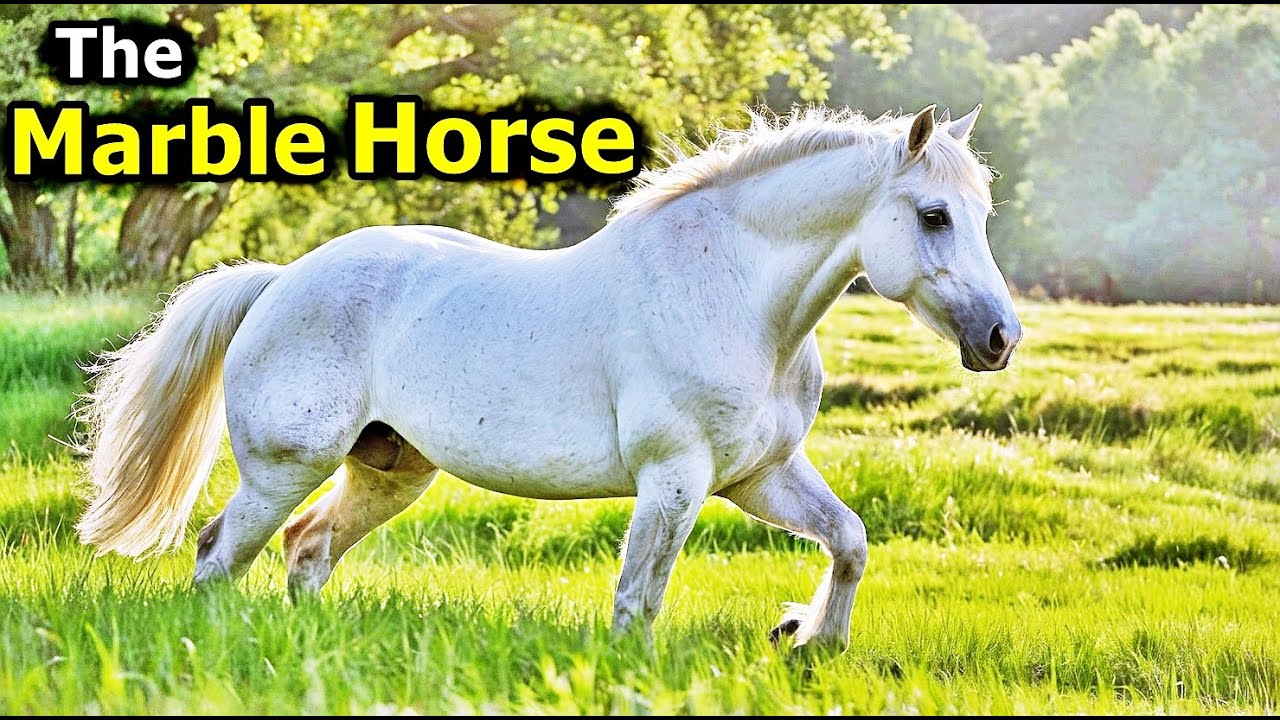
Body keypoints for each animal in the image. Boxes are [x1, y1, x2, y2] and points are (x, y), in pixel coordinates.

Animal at [76, 103, 1020, 650]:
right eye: (933, 215)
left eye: (980, 213)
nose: (1000, 338)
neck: (739, 300)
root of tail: (279, 281)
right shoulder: (674, 478)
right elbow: (638, 600)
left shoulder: (759, 475)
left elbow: (850, 540)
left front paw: (809, 638)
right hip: (284, 466)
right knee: (218, 554)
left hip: (388, 471)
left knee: (305, 550)